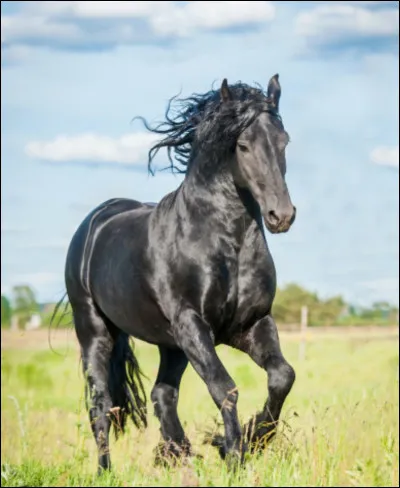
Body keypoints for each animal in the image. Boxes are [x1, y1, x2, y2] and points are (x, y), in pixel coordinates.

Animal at [63, 72, 296, 472]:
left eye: (285, 141)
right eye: (243, 145)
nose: (281, 215)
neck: (223, 243)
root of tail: (95, 221)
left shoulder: (251, 323)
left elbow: (282, 376)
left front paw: (251, 440)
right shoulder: (193, 324)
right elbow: (224, 386)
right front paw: (233, 454)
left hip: (171, 344)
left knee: (162, 393)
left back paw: (178, 453)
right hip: (94, 330)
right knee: (101, 403)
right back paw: (106, 470)